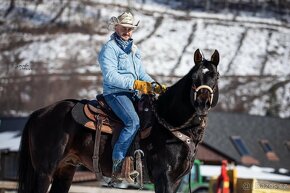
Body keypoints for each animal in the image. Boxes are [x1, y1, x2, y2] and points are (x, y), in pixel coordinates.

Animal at [17, 49, 220, 192]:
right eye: (194, 77)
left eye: (215, 76)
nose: (202, 103)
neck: (169, 122)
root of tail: (40, 113)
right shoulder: (164, 178)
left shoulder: (177, 181)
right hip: (44, 172)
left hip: (65, 170)